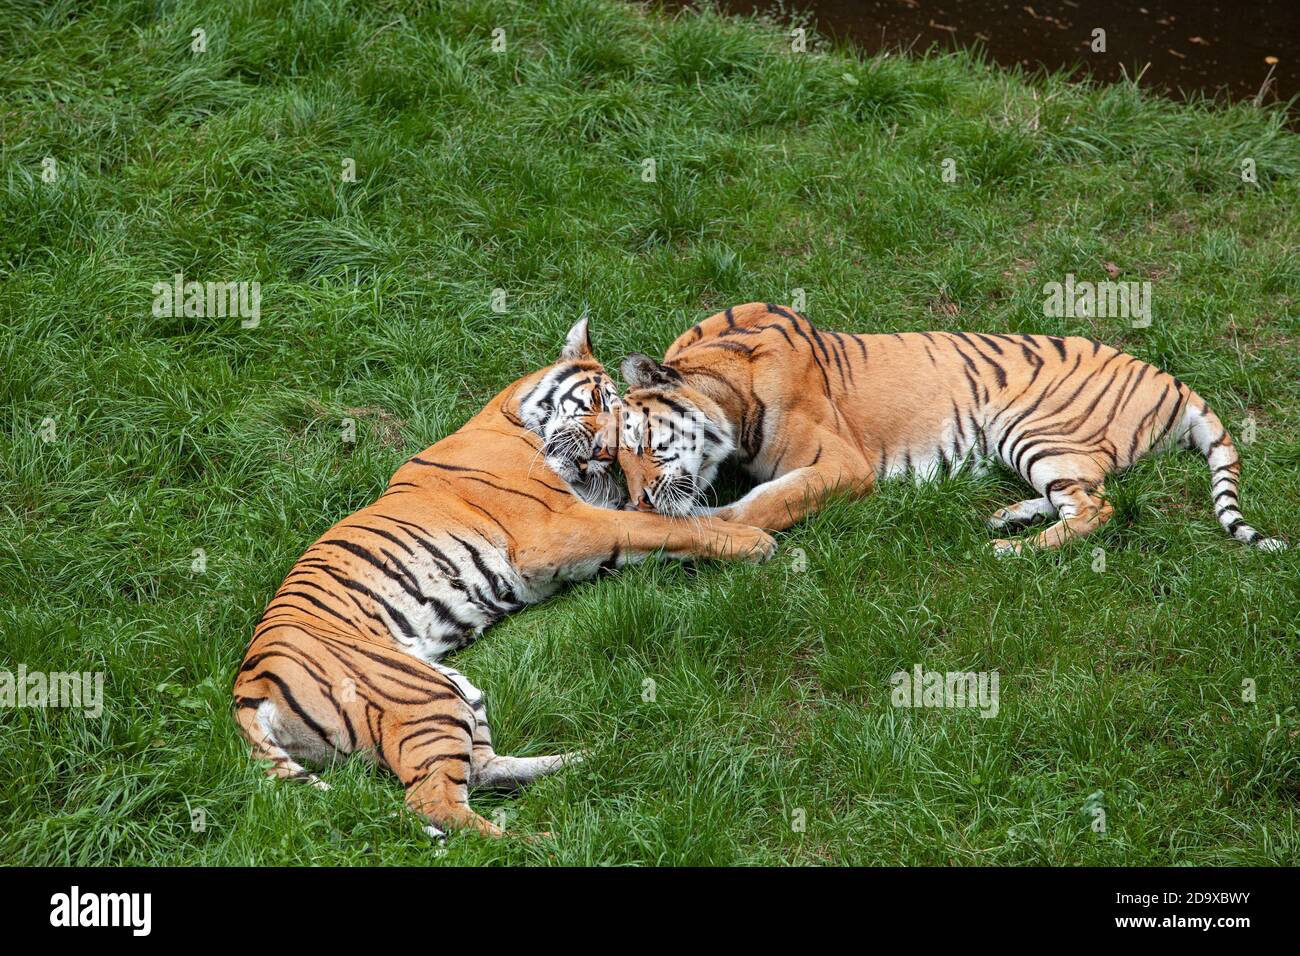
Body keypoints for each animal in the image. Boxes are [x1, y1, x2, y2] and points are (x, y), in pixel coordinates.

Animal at [233, 319, 769, 837]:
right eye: (599, 402)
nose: (602, 454)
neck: (512, 419)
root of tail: (249, 686)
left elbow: (659, 521)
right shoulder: (556, 531)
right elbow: (657, 526)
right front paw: (751, 539)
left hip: (452, 688)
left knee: (480, 769)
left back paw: (582, 758)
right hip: (420, 694)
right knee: (436, 802)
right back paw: (540, 841)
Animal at [613, 299, 1284, 554]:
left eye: (643, 443)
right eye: (615, 465)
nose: (639, 502)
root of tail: (1172, 379)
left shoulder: (841, 464)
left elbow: (770, 499)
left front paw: (721, 522)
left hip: (1031, 426)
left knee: (1098, 509)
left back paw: (1007, 549)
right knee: (1080, 496)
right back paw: (1006, 516)